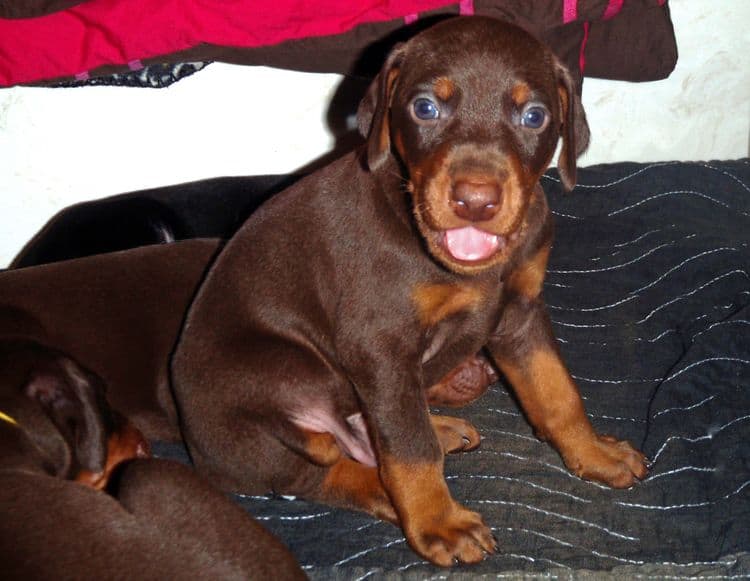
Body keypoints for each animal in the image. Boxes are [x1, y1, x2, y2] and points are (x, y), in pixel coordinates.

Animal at [172, 17, 652, 568]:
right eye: (425, 108)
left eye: (534, 116)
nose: (475, 201)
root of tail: (198, 451)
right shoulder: (380, 344)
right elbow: (409, 449)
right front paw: (439, 522)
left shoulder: (521, 313)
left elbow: (556, 391)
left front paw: (594, 453)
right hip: (283, 375)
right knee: (322, 468)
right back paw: (390, 493)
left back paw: (439, 429)